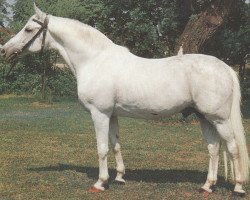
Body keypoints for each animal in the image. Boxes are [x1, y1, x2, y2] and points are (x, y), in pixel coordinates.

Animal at [0, 4, 248, 195]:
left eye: (29, 28)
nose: (4, 50)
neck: (94, 60)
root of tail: (225, 67)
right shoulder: (112, 115)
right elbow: (116, 144)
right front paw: (119, 177)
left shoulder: (99, 114)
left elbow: (102, 148)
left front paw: (101, 183)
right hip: (204, 117)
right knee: (213, 149)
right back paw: (207, 186)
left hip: (219, 119)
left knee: (233, 148)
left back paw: (238, 188)